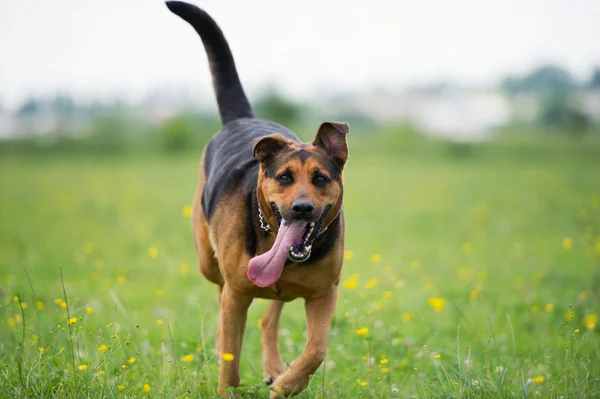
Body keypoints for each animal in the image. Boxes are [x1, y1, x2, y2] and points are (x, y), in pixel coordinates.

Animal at [166, 2, 350, 396]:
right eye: (284, 178)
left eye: (320, 178)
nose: (302, 208)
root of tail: (242, 119)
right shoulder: (236, 294)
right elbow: (230, 355)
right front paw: (228, 389)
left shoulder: (324, 293)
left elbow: (317, 349)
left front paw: (287, 383)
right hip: (208, 262)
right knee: (223, 308)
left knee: (270, 317)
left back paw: (274, 368)